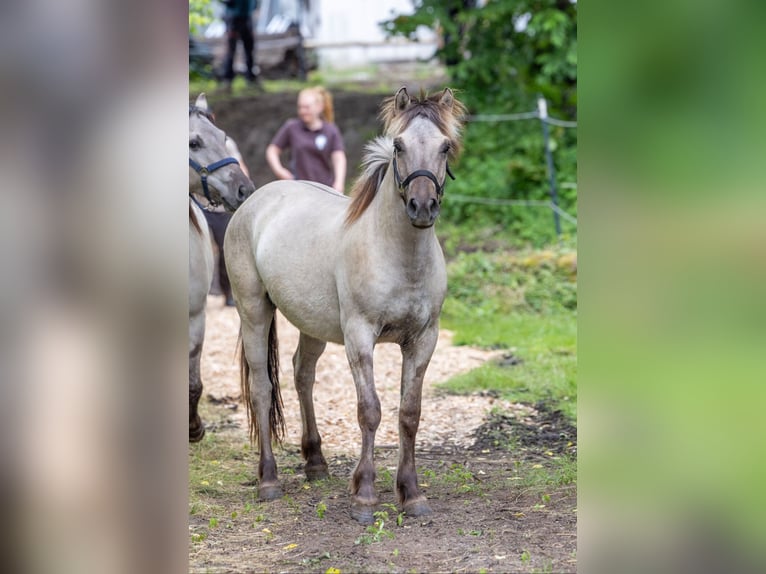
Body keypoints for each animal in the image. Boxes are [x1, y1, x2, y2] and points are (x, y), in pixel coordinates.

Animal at [226, 88, 468, 524]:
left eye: (445, 146)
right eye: (398, 145)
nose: (422, 207)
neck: (397, 255)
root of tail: (255, 200)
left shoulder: (424, 341)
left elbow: (409, 414)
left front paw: (412, 494)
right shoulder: (359, 338)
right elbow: (370, 411)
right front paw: (365, 496)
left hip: (311, 325)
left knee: (302, 375)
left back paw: (315, 462)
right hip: (253, 311)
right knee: (262, 388)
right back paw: (268, 480)